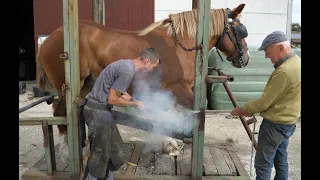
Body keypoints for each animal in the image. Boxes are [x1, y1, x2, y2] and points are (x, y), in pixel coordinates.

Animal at [35, 3, 250, 162]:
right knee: (61, 111)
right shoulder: (176, 88)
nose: (245, 58)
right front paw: (169, 143)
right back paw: (68, 149)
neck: (177, 45)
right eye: (240, 30)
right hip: (70, 85)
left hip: (86, 85)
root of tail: (49, 38)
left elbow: (164, 112)